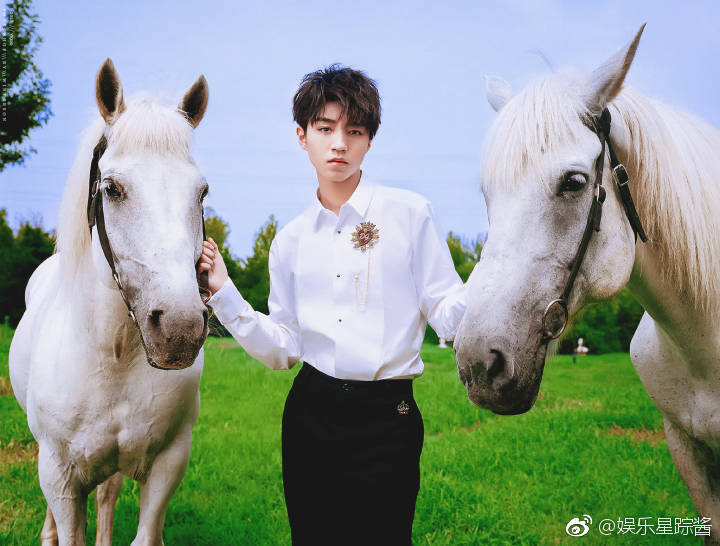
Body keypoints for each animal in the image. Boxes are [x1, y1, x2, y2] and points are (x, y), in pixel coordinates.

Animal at [8, 59, 211, 545]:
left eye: (202, 192)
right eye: (112, 188)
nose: (179, 330)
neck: (112, 353)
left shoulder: (168, 464)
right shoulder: (60, 475)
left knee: (107, 494)